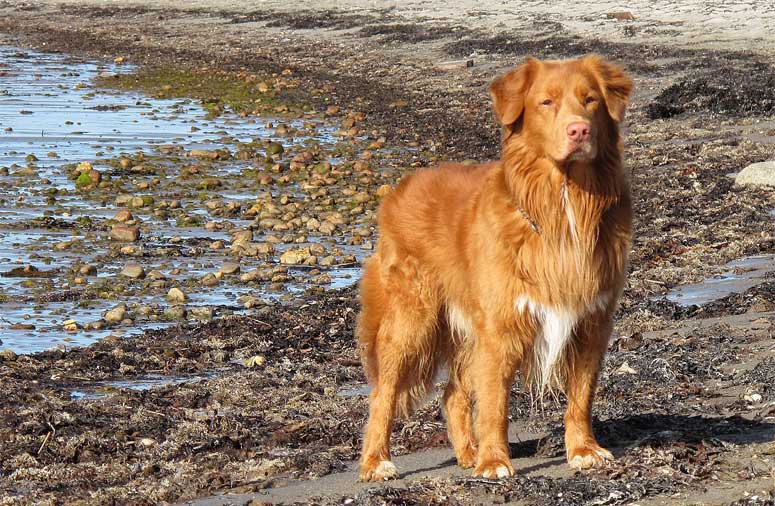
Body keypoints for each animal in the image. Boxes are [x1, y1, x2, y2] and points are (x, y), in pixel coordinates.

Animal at [360, 56, 632, 482]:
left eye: (590, 100)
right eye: (546, 102)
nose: (579, 130)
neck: (563, 205)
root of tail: (400, 188)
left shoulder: (592, 321)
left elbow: (581, 395)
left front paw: (583, 450)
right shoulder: (500, 327)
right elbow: (495, 404)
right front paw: (494, 461)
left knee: (452, 393)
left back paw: (467, 452)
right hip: (411, 322)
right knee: (382, 394)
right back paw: (376, 461)